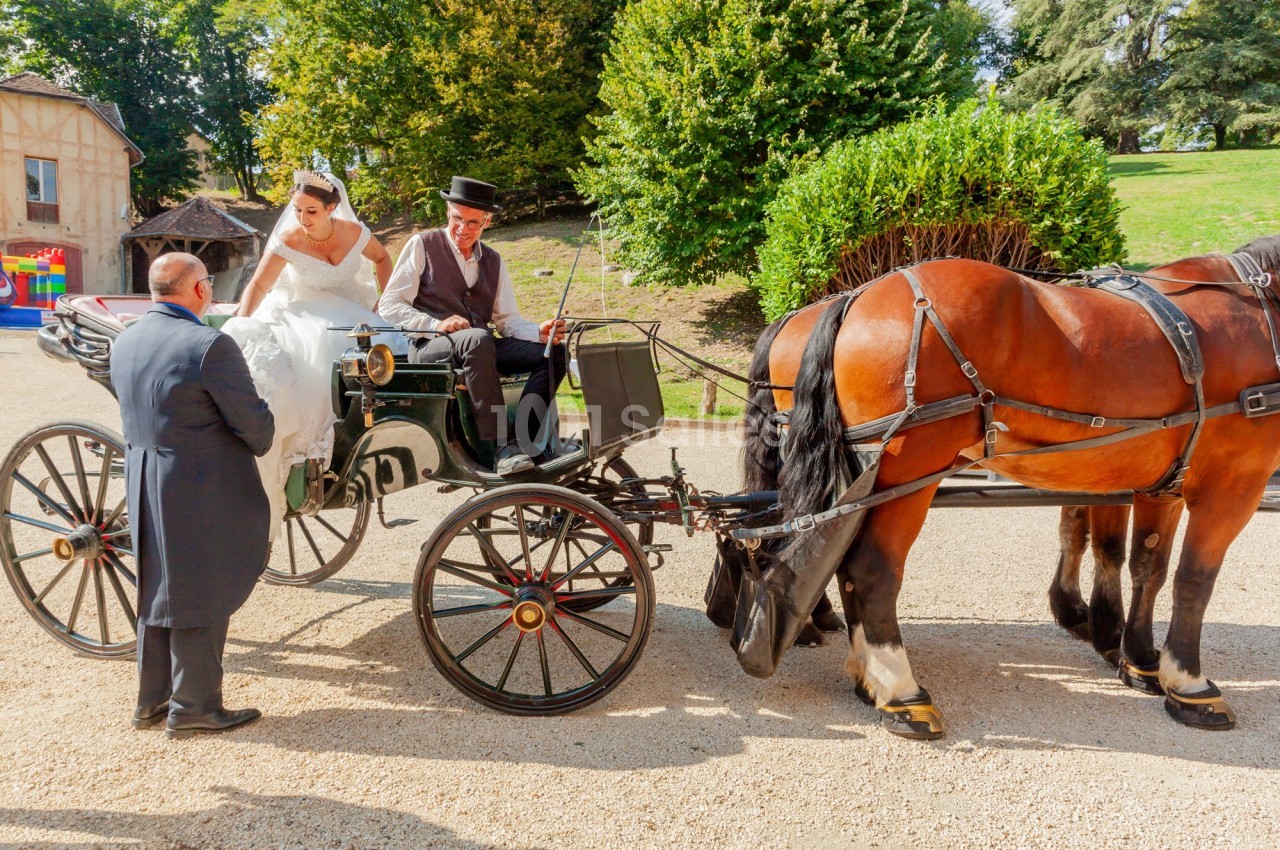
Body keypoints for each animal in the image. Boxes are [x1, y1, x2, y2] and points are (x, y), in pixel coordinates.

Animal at [742, 237, 1280, 739]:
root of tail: (859, 295)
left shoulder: (1158, 483)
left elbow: (1146, 565)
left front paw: (1140, 658)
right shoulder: (1234, 480)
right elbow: (1194, 577)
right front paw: (1189, 685)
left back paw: (865, 675)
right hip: (905, 472)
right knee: (870, 568)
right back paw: (900, 691)